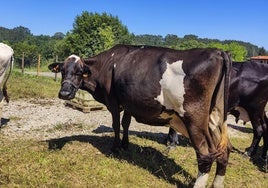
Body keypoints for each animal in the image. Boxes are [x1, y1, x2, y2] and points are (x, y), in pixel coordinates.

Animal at [48, 44, 232, 187]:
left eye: (80, 72)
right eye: (62, 71)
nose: (64, 93)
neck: (106, 64)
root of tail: (217, 51)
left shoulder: (113, 101)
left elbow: (116, 125)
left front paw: (115, 148)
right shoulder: (129, 102)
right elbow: (126, 123)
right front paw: (125, 145)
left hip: (194, 120)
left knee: (205, 155)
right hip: (214, 119)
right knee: (223, 150)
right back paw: (217, 184)